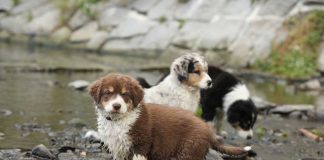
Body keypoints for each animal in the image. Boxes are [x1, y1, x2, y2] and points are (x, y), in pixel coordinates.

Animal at [88, 74, 253, 160]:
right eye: (107, 93)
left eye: (125, 95)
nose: (116, 106)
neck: (119, 120)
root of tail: (207, 130)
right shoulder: (118, 148)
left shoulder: (141, 145)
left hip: (189, 151)